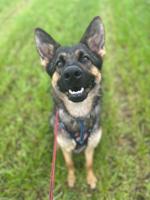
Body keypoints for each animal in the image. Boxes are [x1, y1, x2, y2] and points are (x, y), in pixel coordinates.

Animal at [34, 16, 105, 189]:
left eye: (85, 58)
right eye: (59, 64)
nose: (71, 73)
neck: (78, 116)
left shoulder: (90, 147)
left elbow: (89, 164)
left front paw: (90, 178)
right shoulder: (66, 148)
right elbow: (70, 164)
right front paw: (72, 179)